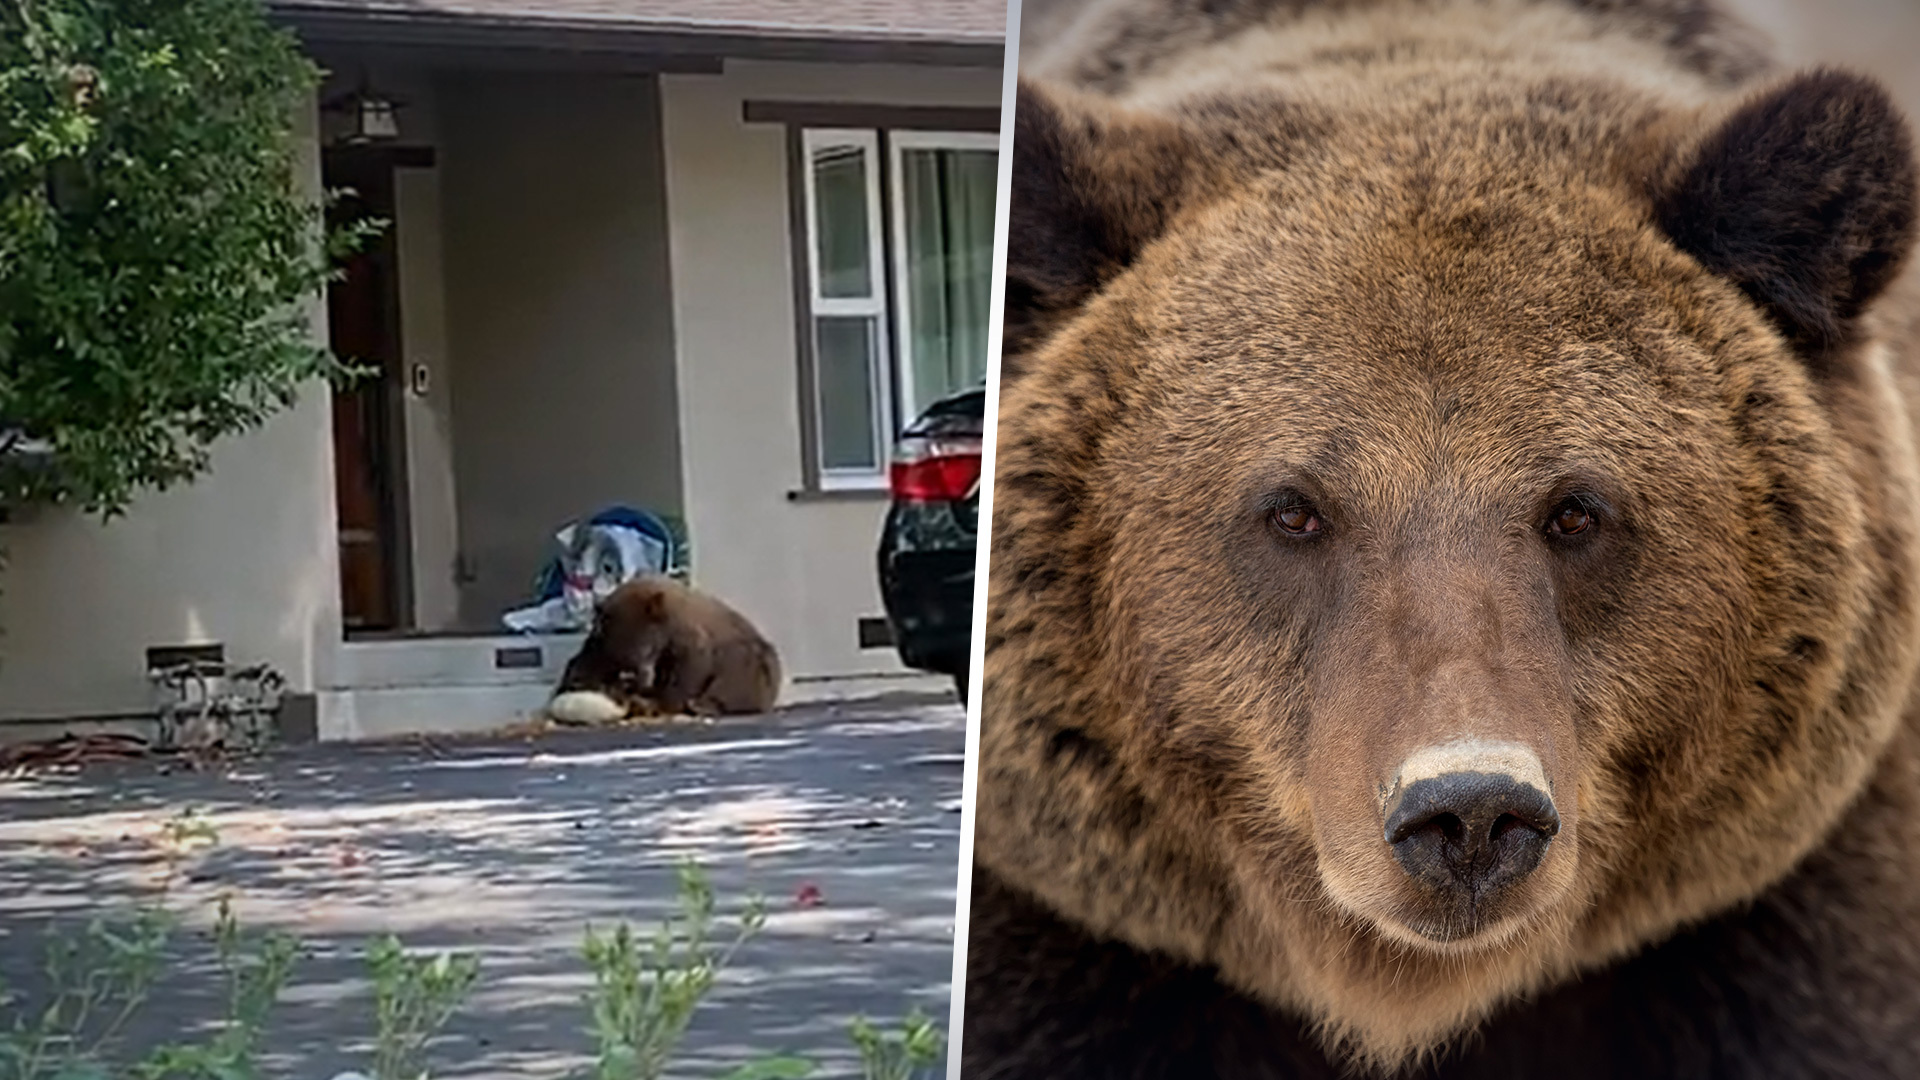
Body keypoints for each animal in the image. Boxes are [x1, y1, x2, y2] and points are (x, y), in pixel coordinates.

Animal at [548, 575, 782, 722]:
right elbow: (587, 663)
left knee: (738, 677)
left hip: (754, 659)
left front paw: (662, 703)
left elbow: (690, 669)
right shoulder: (602, 644)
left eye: (646, 647)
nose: (638, 678)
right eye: (624, 657)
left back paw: (703, 704)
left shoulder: (686, 637)